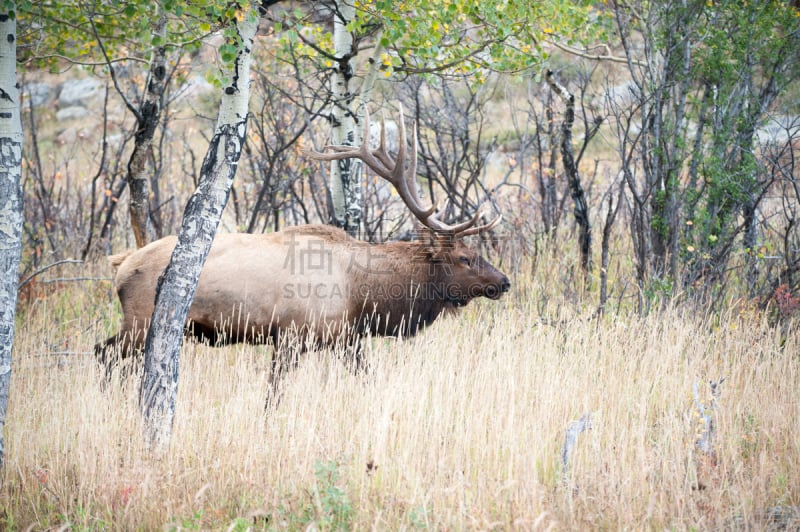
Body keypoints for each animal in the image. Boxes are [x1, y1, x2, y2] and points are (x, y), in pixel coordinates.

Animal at [95, 111, 512, 400]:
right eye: (464, 257)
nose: (504, 281)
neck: (363, 294)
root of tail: (120, 265)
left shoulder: (347, 338)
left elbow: (366, 379)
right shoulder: (292, 335)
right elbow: (274, 393)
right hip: (141, 322)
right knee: (103, 354)